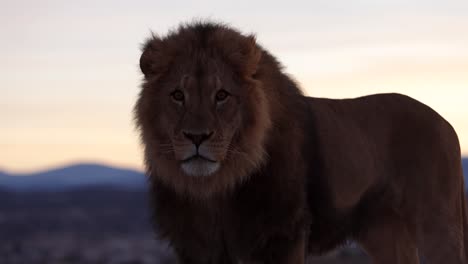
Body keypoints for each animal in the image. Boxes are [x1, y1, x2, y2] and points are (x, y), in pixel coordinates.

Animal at [133, 21, 468, 262]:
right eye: (178, 95)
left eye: (222, 95)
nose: (197, 137)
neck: (216, 189)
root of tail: (447, 124)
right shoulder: (196, 246)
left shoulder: (283, 237)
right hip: (385, 232)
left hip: (438, 225)